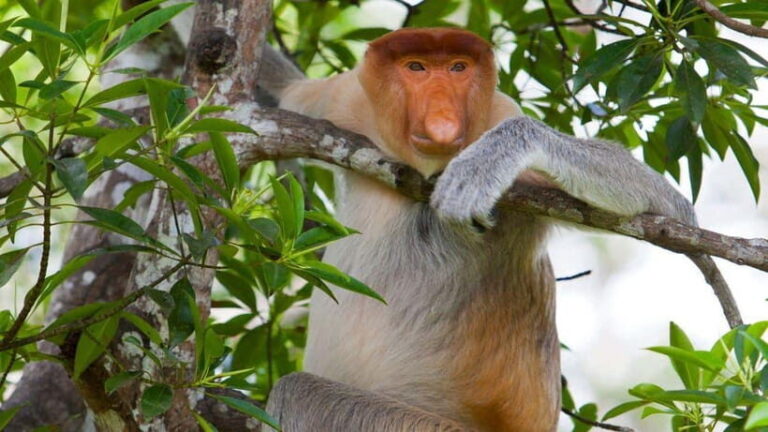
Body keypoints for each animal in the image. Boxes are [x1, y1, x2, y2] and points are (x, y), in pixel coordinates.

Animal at [258, 27, 695, 431]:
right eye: (416, 67)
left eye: (458, 68)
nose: (442, 117)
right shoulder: (346, 97)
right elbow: (283, 93)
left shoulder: (499, 113)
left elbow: (670, 208)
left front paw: (488, 159)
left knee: (296, 390)